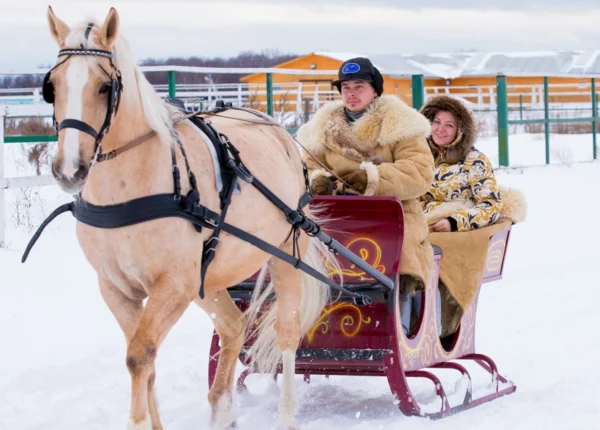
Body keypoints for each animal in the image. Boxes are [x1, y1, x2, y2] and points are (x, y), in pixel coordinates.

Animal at [44, 5, 336, 426]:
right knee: (233, 328)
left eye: (104, 87)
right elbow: (144, 359)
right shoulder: (117, 289)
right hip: (209, 278)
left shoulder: (172, 286)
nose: (69, 170)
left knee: (287, 330)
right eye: (52, 86)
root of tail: (277, 130)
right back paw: (222, 412)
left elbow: (139, 356)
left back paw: (286, 415)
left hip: (283, 256)